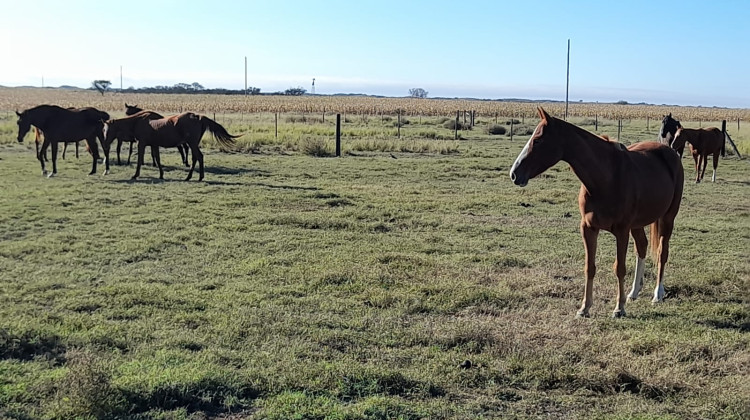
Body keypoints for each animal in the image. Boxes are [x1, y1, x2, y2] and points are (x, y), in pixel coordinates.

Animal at [104, 111, 239, 180]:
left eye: (106, 130)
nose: (105, 144)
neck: (137, 122)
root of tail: (198, 117)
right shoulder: (154, 145)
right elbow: (157, 159)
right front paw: (161, 175)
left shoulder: (141, 144)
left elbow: (139, 160)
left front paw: (135, 175)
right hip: (193, 144)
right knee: (195, 158)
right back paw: (191, 176)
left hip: (192, 143)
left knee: (199, 157)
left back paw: (197, 177)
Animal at [512, 108, 688, 318]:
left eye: (538, 140)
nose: (514, 174)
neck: (605, 178)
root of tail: (669, 152)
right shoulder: (588, 228)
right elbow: (590, 267)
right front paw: (584, 308)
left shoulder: (621, 231)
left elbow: (619, 268)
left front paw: (619, 308)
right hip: (637, 224)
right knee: (642, 247)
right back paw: (634, 292)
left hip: (667, 218)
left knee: (662, 252)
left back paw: (657, 294)